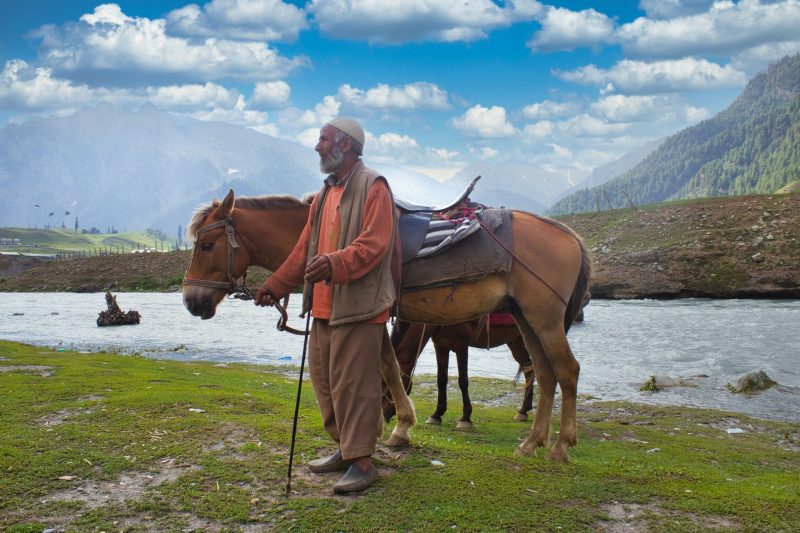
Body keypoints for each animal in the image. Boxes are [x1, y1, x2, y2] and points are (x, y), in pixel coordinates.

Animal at [384, 317, 534, 429]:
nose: (384, 416)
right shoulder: (440, 345)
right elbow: (441, 380)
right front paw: (436, 414)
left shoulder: (461, 345)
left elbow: (463, 381)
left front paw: (465, 418)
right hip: (516, 341)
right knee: (529, 369)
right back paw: (523, 410)